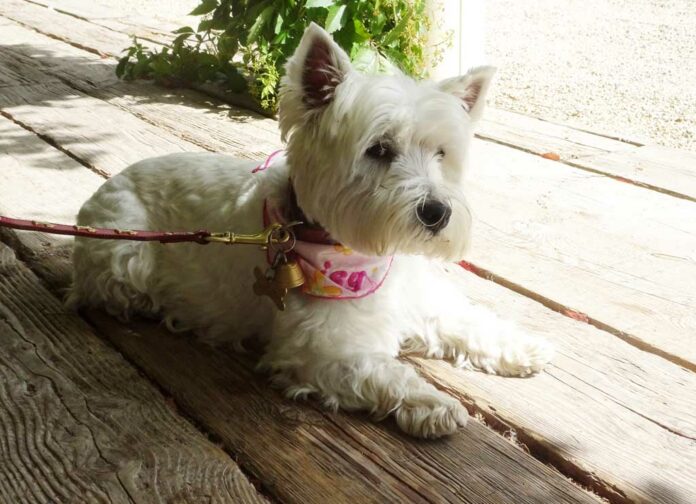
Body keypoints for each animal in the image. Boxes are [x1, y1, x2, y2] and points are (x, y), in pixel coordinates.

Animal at [68, 23, 552, 440]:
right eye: (379, 149)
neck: (351, 252)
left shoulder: (415, 300)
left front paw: (523, 347)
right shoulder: (319, 351)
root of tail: (100, 191)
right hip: (125, 250)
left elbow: (463, 318)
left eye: (441, 153)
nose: (437, 212)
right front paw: (433, 403)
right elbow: (380, 371)